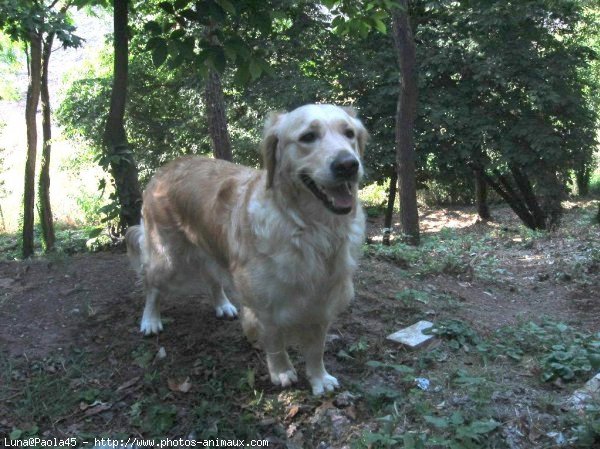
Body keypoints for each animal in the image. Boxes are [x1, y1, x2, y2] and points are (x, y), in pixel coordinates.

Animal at [125, 103, 366, 394]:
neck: (312, 229)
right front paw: (282, 371)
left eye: (349, 133)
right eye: (308, 137)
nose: (348, 165)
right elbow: (274, 340)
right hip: (166, 257)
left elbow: (316, 349)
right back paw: (150, 320)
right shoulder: (265, 304)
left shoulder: (324, 300)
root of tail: (166, 168)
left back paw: (222, 304)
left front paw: (319, 378)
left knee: (211, 277)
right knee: (152, 286)